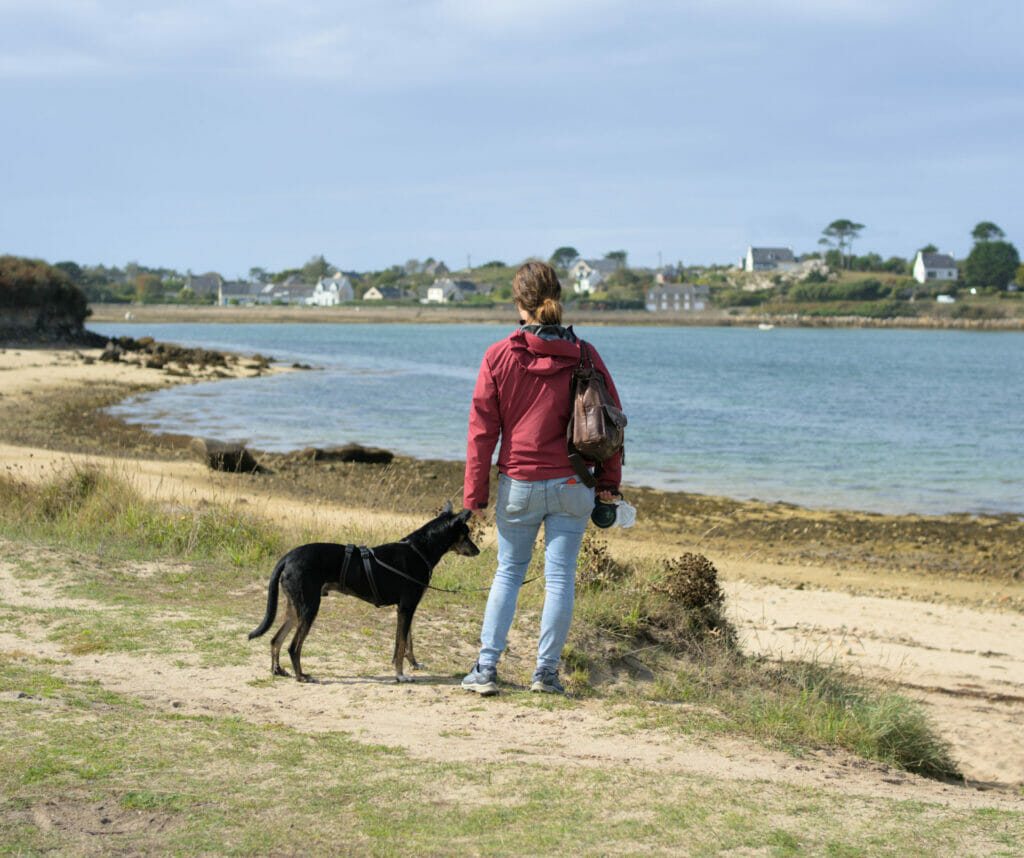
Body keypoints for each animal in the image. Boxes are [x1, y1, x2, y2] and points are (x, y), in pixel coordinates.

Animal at [247, 503, 475, 683]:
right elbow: (401, 645)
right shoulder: (406, 608)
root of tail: (288, 556)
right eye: (466, 534)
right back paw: (301, 676)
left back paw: (277, 670)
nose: (477, 551)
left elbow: (408, 642)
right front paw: (400, 675)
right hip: (309, 608)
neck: (419, 550)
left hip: (295, 609)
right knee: (293, 647)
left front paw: (414, 664)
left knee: (275, 640)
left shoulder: (407, 609)